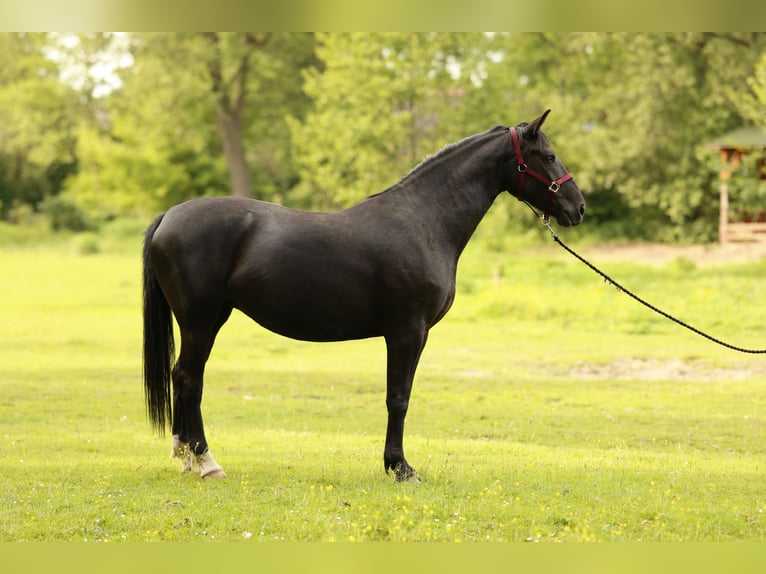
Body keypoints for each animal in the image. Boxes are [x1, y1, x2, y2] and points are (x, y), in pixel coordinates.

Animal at [142, 110, 586, 481]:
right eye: (549, 156)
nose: (578, 207)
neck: (424, 220)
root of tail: (169, 216)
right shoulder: (407, 332)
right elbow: (398, 398)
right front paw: (400, 467)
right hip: (200, 321)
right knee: (190, 379)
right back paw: (206, 462)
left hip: (211, 318)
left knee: (183, 376)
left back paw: (186, 456)